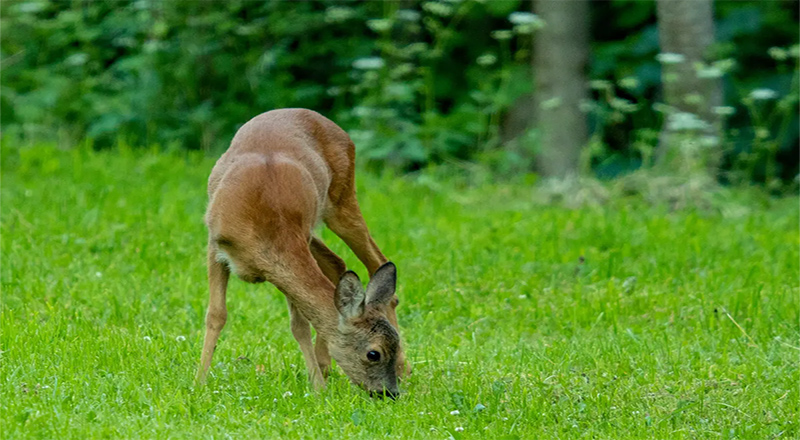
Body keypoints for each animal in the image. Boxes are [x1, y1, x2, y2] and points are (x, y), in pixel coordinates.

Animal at [194, 107, 406, 398]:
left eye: (392, 344)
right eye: (373, 353)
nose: (389, 393)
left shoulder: (297, 239)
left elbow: (300, 325)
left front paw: (317, 386)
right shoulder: (215, 244)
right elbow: (216, 315)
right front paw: (199, 381)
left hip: (341, 201)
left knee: (376, 262)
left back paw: (403, 369)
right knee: (338, 262)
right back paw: (327, 364)